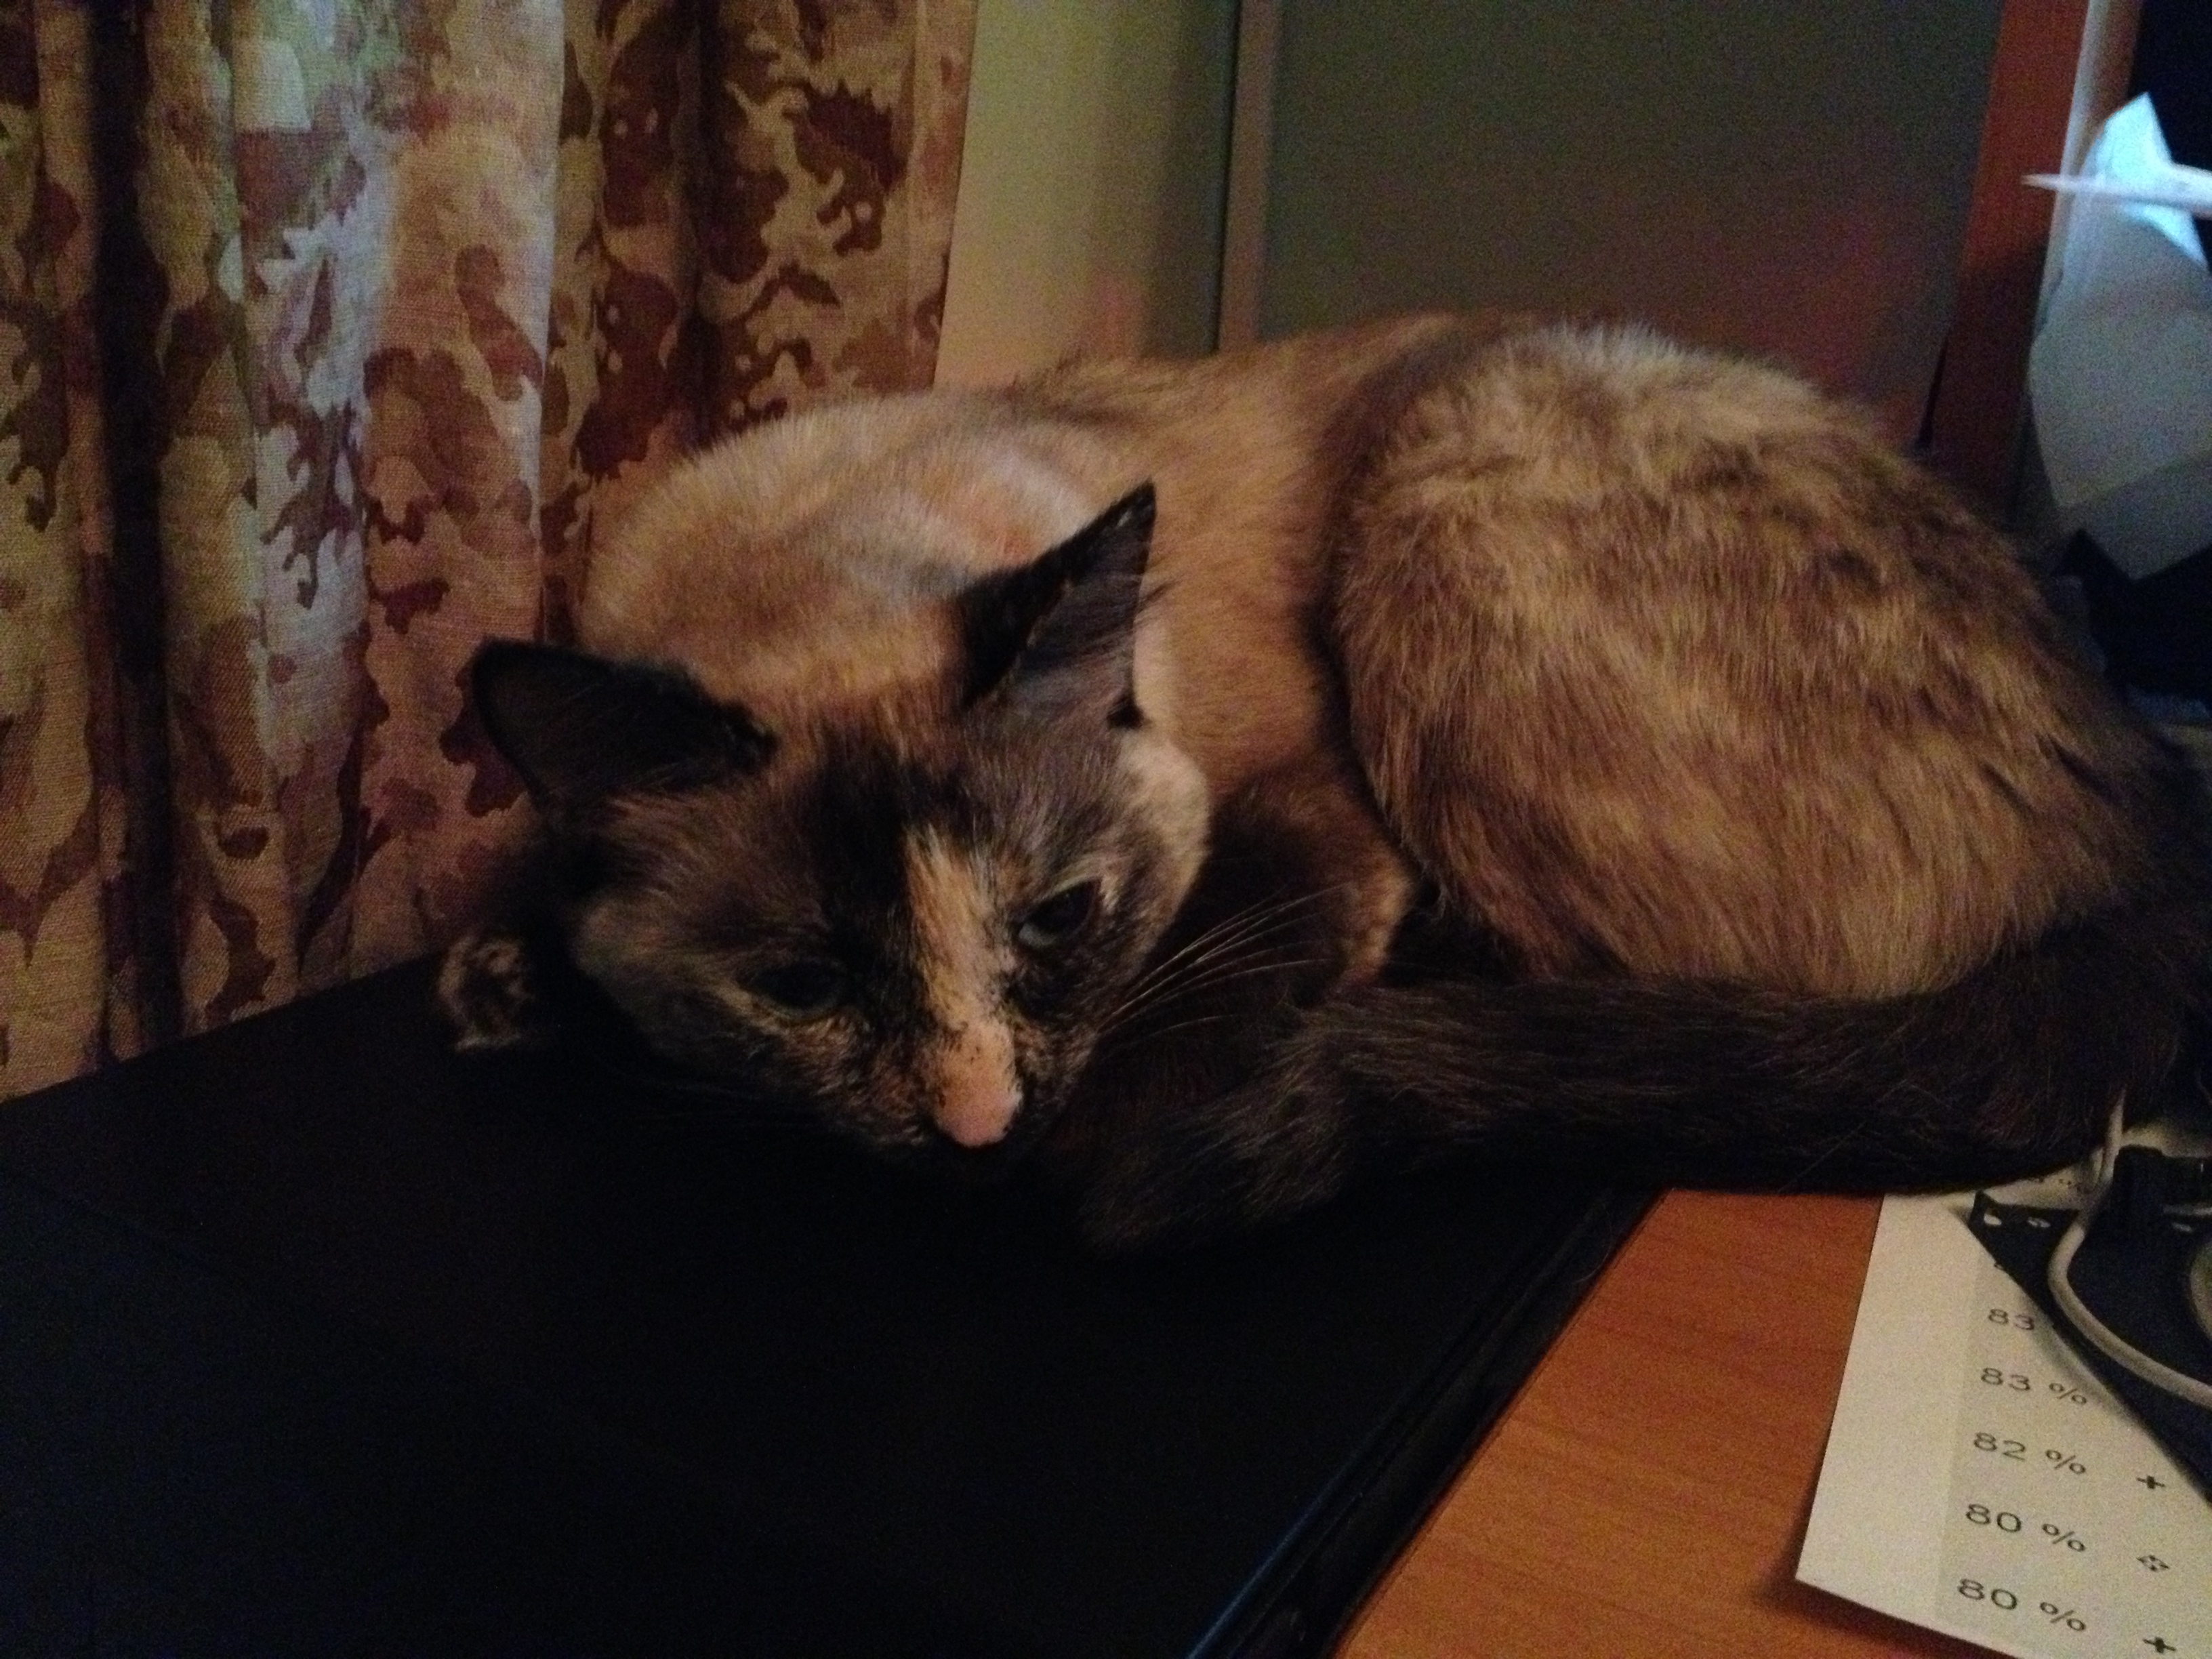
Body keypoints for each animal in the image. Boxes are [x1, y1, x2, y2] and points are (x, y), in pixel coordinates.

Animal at [440, 313, 2212, 1250]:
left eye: (1061, 917)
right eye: (803, 983)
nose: (983, 1132)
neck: (813, 551)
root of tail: (2147, 816)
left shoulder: (1309, 810)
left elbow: (1247, 949)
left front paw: (1118, 1155)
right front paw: (510, 979)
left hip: (1446, 489)